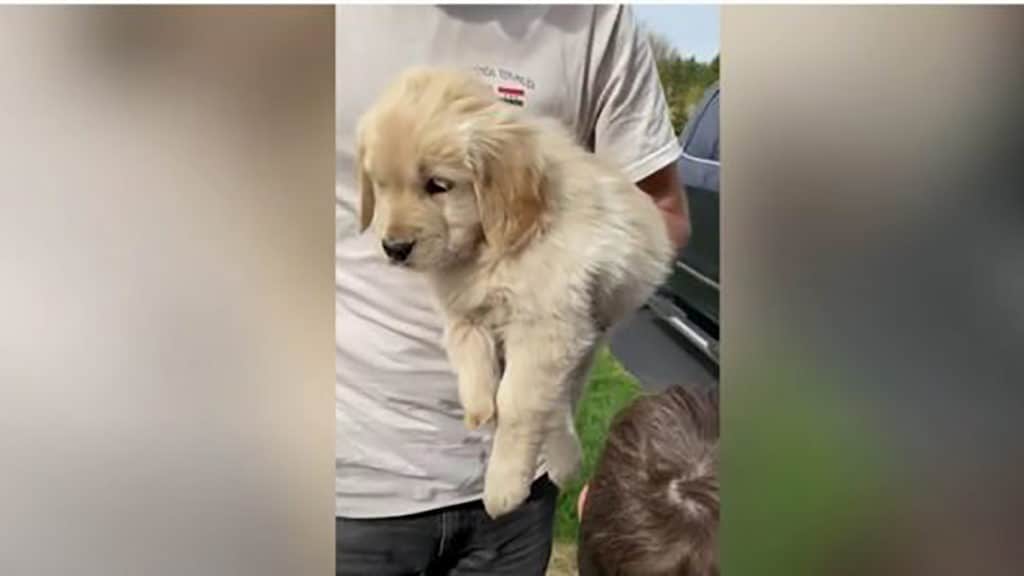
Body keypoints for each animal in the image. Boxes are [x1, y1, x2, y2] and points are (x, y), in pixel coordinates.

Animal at [356, 67, 675, 516]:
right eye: (381, 186)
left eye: (438, 185)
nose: (394, 248)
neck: (489, 249)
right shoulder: (466, 312)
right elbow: (469, 355)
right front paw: (477, 407)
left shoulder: (549, 325)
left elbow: (518, 405)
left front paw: (503, 487)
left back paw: (563, 459)